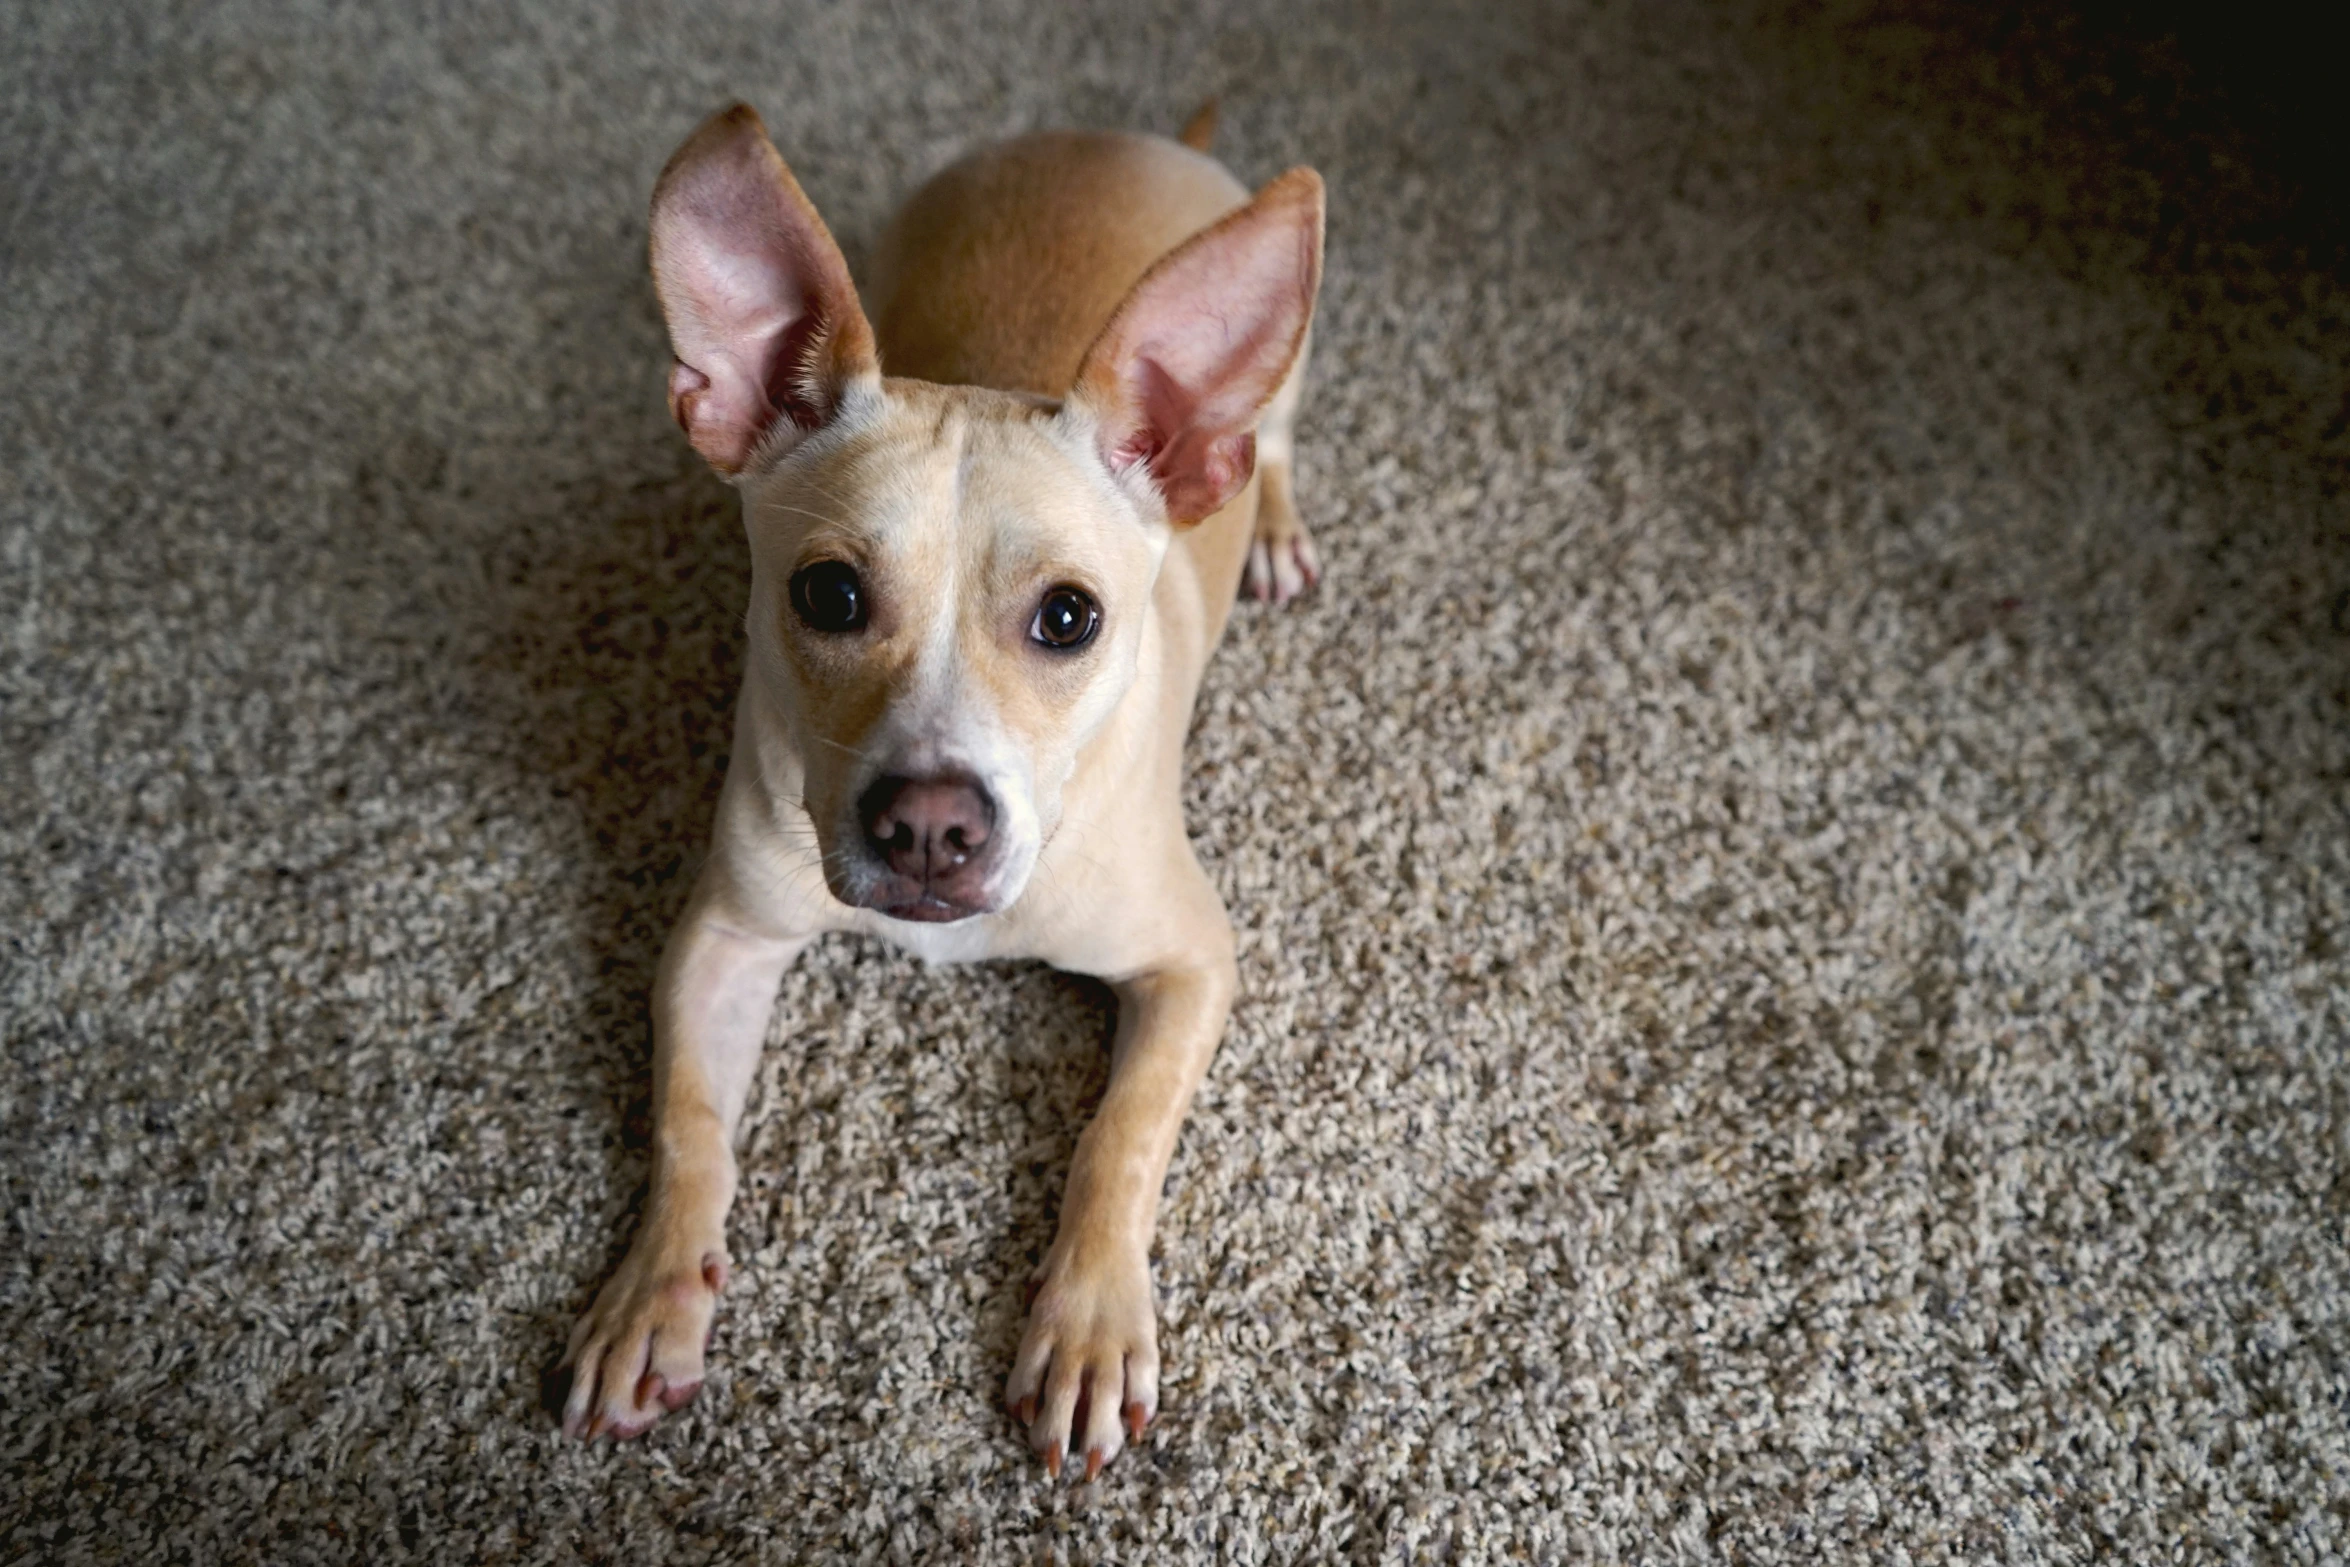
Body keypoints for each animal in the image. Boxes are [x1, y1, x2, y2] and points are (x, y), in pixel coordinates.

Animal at [554, 101, 1325, 1484]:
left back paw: (1277, 527)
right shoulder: (720, 940)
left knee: (1272, 448)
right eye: (828, 595)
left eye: (1069, 618)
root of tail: (1124, 130)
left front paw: (1088, 1326)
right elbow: (688, 1125)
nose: (927, 825)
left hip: (1281, 384)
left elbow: (1118, 1138)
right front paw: (651, 1296)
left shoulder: (1192, 959)